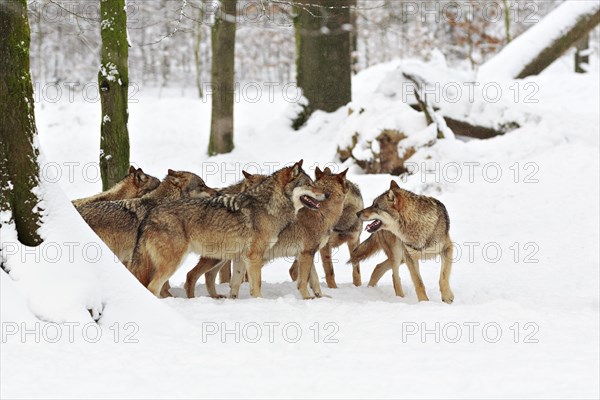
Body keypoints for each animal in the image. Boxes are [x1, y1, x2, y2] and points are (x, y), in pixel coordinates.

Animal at [129, 160, 326, 296]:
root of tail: (149, 215)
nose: (327, 194)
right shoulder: (254, 257)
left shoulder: (241, 258)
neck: (269, 206)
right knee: (153, 287)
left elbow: (235, 286)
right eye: (309, 184)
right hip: (174, 263)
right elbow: (257, 287)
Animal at [184, 166, 352, 300]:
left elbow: (315, 281)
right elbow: (304, 282)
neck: (322, 212)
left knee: (208, 276)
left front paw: (320, 297)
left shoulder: (304, 254)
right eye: (309, 185)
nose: (326, 195)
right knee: (192, 275)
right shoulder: (306, 254)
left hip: (224, 257)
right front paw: (307, 298)